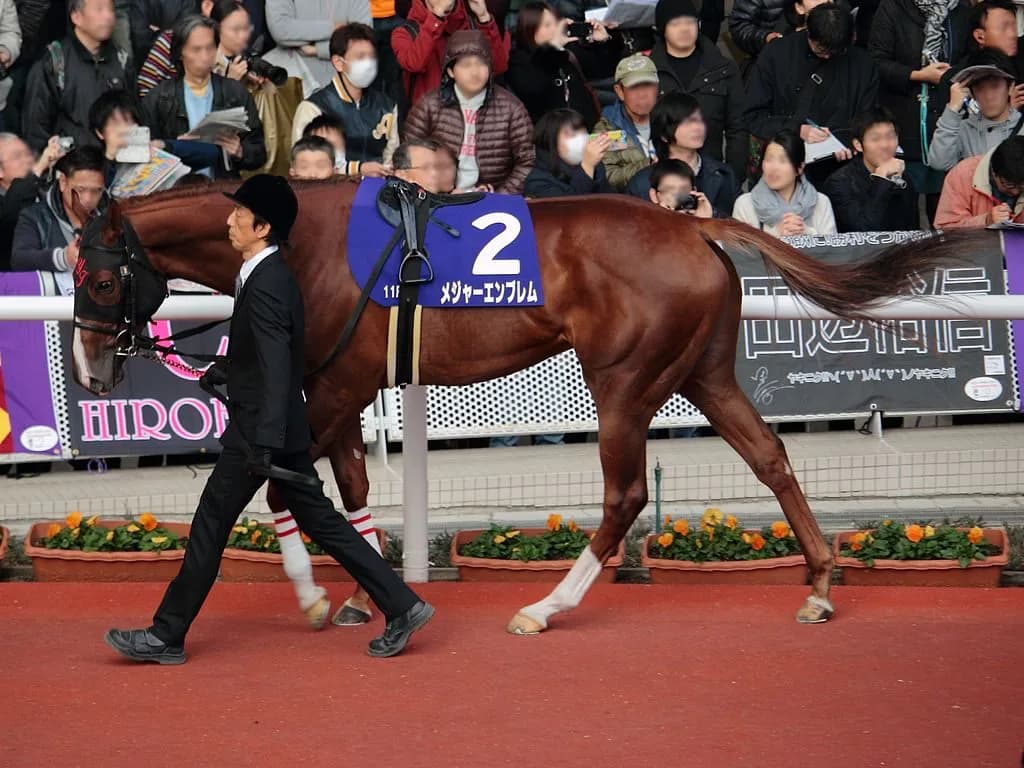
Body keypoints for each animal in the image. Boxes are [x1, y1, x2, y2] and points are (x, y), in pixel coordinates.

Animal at [71, 178, 966, 633]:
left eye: (104, 278)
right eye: (74, 271)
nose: (89, 370)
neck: (304, 241)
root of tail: (693, 228)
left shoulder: (335, 386)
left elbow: (281, 483)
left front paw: (324, 594)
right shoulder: (335, 388)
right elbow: (331, 488)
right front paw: (357, 592)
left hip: (625, 382)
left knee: (626, 495)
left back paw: (548, 605)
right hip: (705, 374)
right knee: (772, 458)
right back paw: (818, 585)